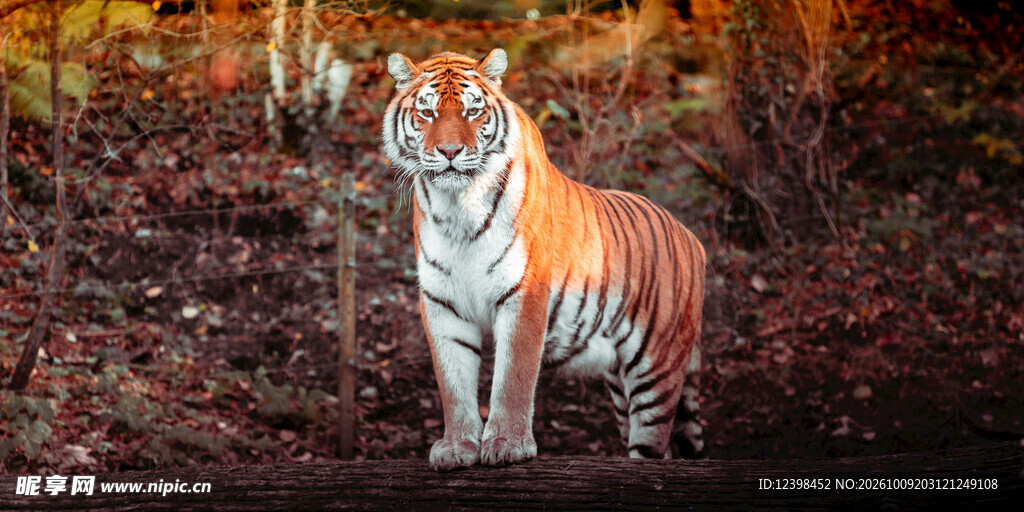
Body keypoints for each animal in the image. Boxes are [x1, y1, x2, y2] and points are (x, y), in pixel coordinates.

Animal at [382, 49, 706, 470]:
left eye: (472, 111)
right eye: (427, 112)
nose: (450, 152)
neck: (457, 208)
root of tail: (692, 237)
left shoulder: (524, 292)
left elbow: (513, 378)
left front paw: (507, 444)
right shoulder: (442, 302)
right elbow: (453, 383)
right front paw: (456, 447)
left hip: (657, 368)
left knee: (655, 445)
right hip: (620, 386)